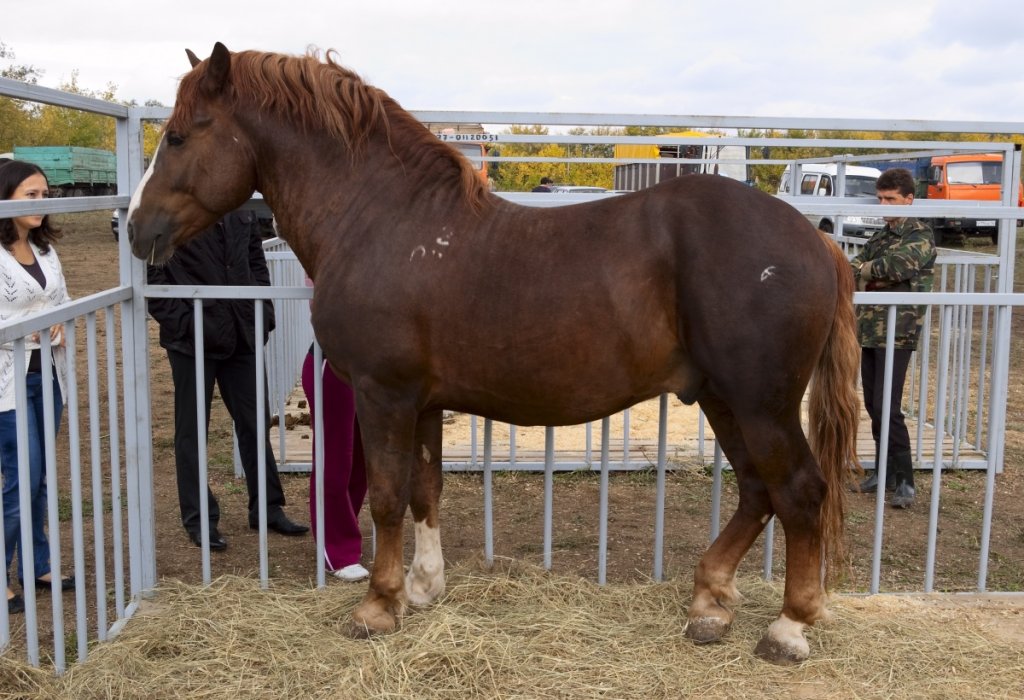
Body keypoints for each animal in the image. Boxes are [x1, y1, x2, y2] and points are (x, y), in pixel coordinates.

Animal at [126, 42, 861, 665]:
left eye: (181, 134)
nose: (136, 228)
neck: (381, 220)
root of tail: (814, 239)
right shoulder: (421, 402)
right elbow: (424, 488)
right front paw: (424, 587)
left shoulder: (382, 393)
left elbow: (386, 497)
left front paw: (379, 606)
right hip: (720, 396)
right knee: (757, 490)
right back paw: (710, 603)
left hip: (758, 403)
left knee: (799, 490)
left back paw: (788, 628)